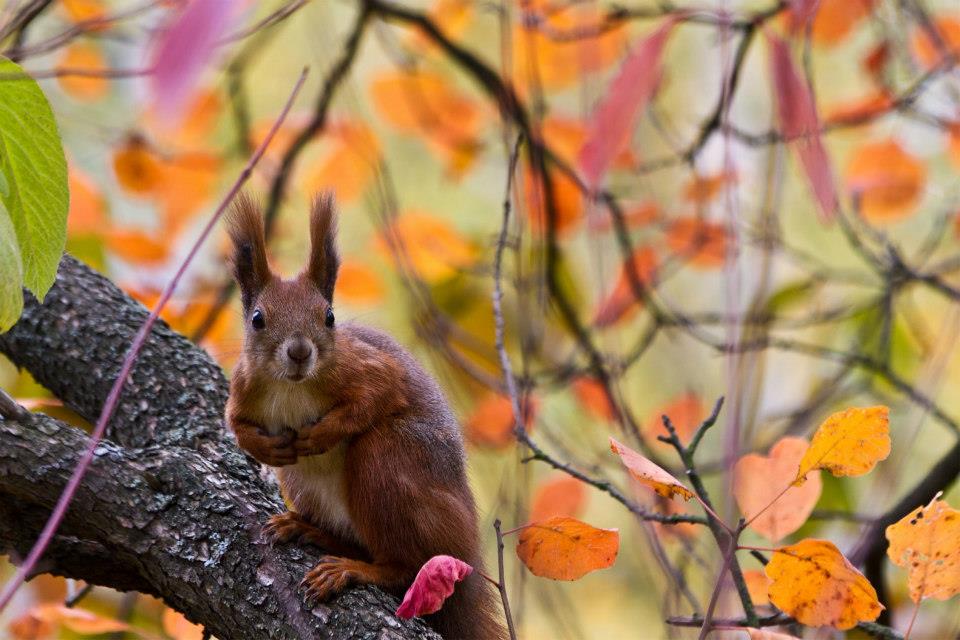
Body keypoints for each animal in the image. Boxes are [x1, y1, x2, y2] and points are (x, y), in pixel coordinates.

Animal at [224, 193, 506, 640]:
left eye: (329, 316)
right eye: (257, 319)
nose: (300, 351)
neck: (292, 386)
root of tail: (468, 557)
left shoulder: (368, 368)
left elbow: (380, 394)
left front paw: (322, 435)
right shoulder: (243, 391)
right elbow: (236, 427)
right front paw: (266, 448)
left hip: (387, 463)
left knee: (402, 568)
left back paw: (351, 570)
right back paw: (308, 530)